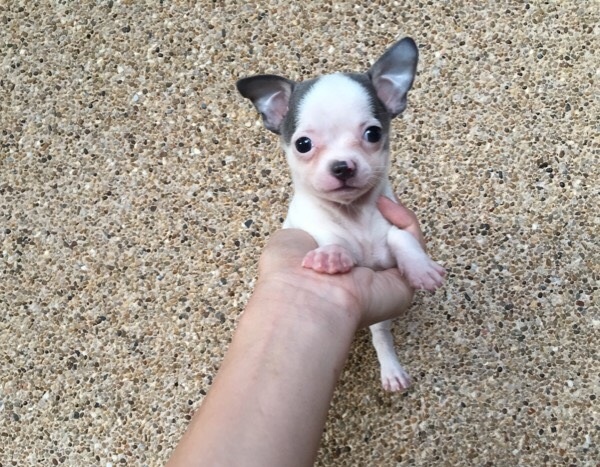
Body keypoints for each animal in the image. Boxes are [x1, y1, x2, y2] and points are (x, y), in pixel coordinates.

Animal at [236, 37, 445, 391]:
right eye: (303, 144)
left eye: (373, 134)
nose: (342, 166)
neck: (354, 214)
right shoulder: (315, 231)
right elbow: (332, 242)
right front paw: (331, 256)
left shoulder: (389, 236)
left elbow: (401, 238)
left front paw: (421, 268)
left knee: (381, 335)